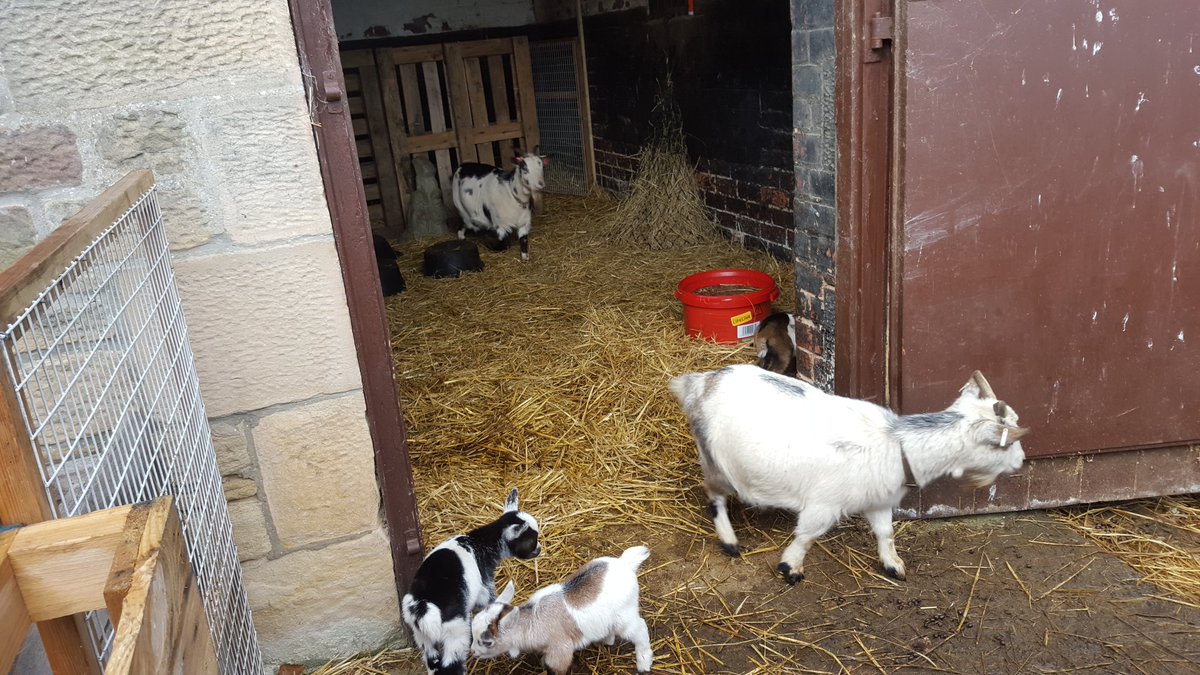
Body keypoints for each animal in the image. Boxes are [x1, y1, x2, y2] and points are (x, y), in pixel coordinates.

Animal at [401, 488, 541, 675]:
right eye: (532, 540)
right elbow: (489, 600)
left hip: (423, 637)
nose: (539, 549)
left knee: (433, 662)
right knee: (451, 663)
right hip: (455, 630)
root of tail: (422, 606)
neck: (479, 543)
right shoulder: (484, 583)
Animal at [471, 546, 653, 675]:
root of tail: (625, 563)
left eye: (487, 642)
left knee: (640, 629)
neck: (533, 620)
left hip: (625, 616)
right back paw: (607, 640)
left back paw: (644, 662)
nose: (472, 652)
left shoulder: (559, 651)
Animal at [669, 366, 1027, 584]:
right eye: (1007, 443)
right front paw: (790, 568)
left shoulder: (879, 501)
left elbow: (885, 533)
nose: (1022, 461)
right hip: (715, 461)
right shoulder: (823, 505)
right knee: (714, 498)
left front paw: (893, 565)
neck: (897, 443)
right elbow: (807, 535)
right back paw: (730, 542)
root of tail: (699, 384)